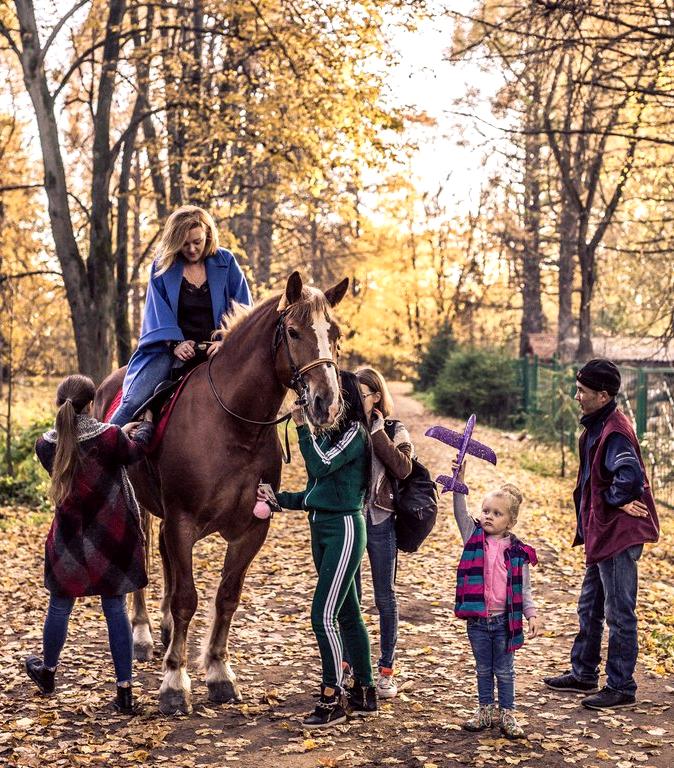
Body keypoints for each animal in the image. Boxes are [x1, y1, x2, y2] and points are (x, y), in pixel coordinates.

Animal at [93, 272, 346, 712]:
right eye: (294, 332)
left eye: (335, 333)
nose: (326, 404)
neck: (234, 426)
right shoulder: (183, 522)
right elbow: (187, 598)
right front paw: (174, 683)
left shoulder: (251, 529)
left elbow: (227, 595)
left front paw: (218, 672)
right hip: (138, 503)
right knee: (146, 557)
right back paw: (141, 634)